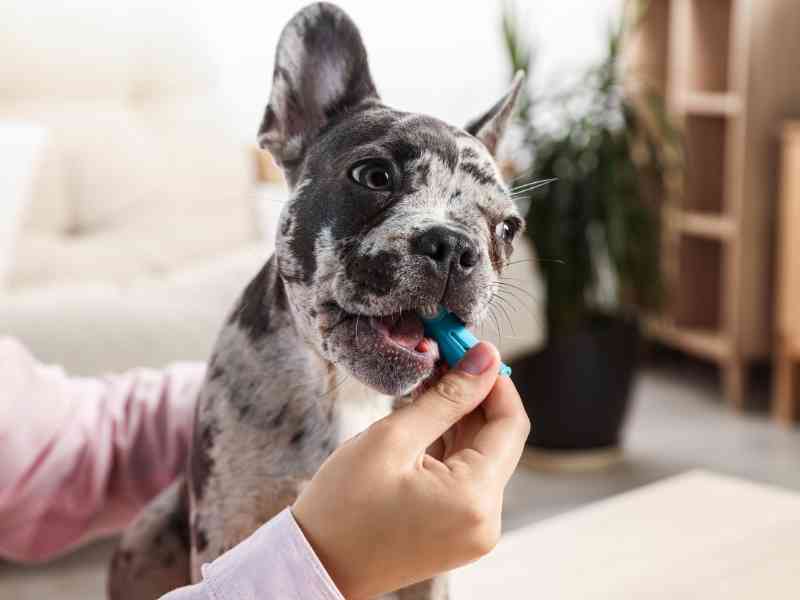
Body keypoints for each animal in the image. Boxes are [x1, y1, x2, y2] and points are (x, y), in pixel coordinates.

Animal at [111, 4, 524, 600]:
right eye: (374, 175)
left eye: (509, 229)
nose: (454, 246)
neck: (345, 388)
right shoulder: (228, 524)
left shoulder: (429, 578)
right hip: (145, 534)